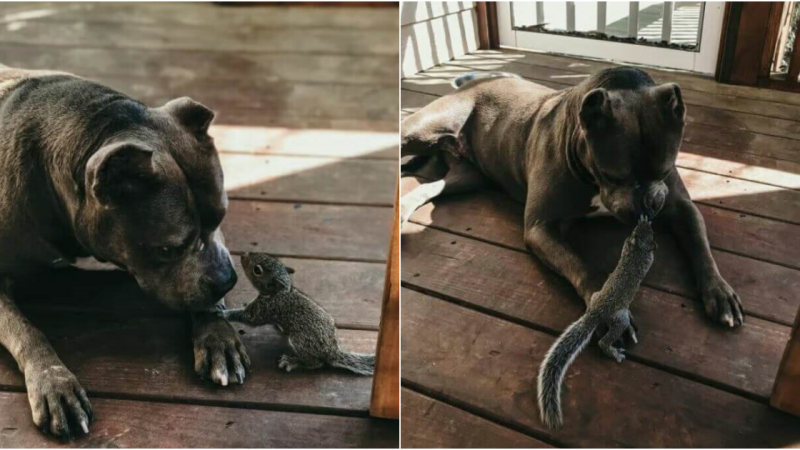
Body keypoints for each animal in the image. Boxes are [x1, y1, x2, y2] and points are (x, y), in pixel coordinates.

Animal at [0, 68, 250, 438]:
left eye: (221, 216)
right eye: (168, 249)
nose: (227, 281)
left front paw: (218, 334)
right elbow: (26, 331)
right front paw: (54, 382)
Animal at [214, 253, 374, 376]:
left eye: (257, 270)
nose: (243, 255)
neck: (279, 292)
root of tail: (331, 351)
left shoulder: (265, 309)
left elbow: (248, 318)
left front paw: (223, 313)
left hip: (301, 340)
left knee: (315, 363)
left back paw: (293, 361)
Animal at [404, 67, 748, 338]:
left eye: (664, 170)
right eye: (611, 175)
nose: (644, 208)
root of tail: (475, 80)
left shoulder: (682, 208)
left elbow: (700, 247)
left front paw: (719, 290)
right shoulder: (541, 227)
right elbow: (581, 265)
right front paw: (606, 311)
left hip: (468, 176)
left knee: (429, 187)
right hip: (420, 131)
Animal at [536, 217, 656, 428]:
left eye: (641, 229)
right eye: (650, 234)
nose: (646, 221)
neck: (635, 252)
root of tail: (595, 311)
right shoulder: (645, 259)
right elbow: (651, 259)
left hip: (596, 296)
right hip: (619, 319)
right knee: (604, 340)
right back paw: (613, 350)